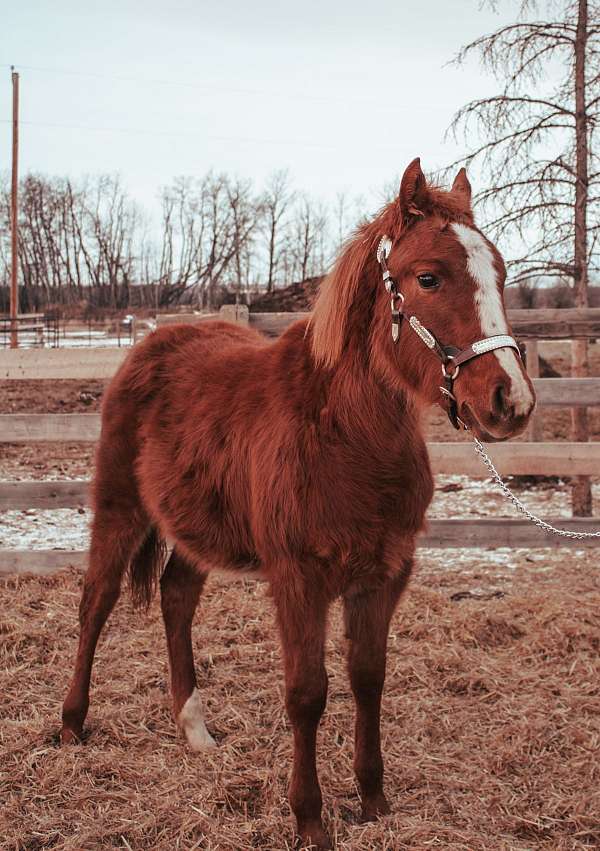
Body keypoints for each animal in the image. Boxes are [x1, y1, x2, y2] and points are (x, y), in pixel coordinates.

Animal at [62, 160, 536, 844]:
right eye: (428, 277)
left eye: (498, 273)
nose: (509, 400)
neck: (345, 435)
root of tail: (153, 344)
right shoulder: (298, 577)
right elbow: (308, 693)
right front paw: (310, 820)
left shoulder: (384, 574)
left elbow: (368, 679)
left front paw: (373, 800)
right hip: (121, 507)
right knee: (96, 602)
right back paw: (72, 723)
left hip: (196, 528)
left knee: (176, 599)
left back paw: (195, 731)